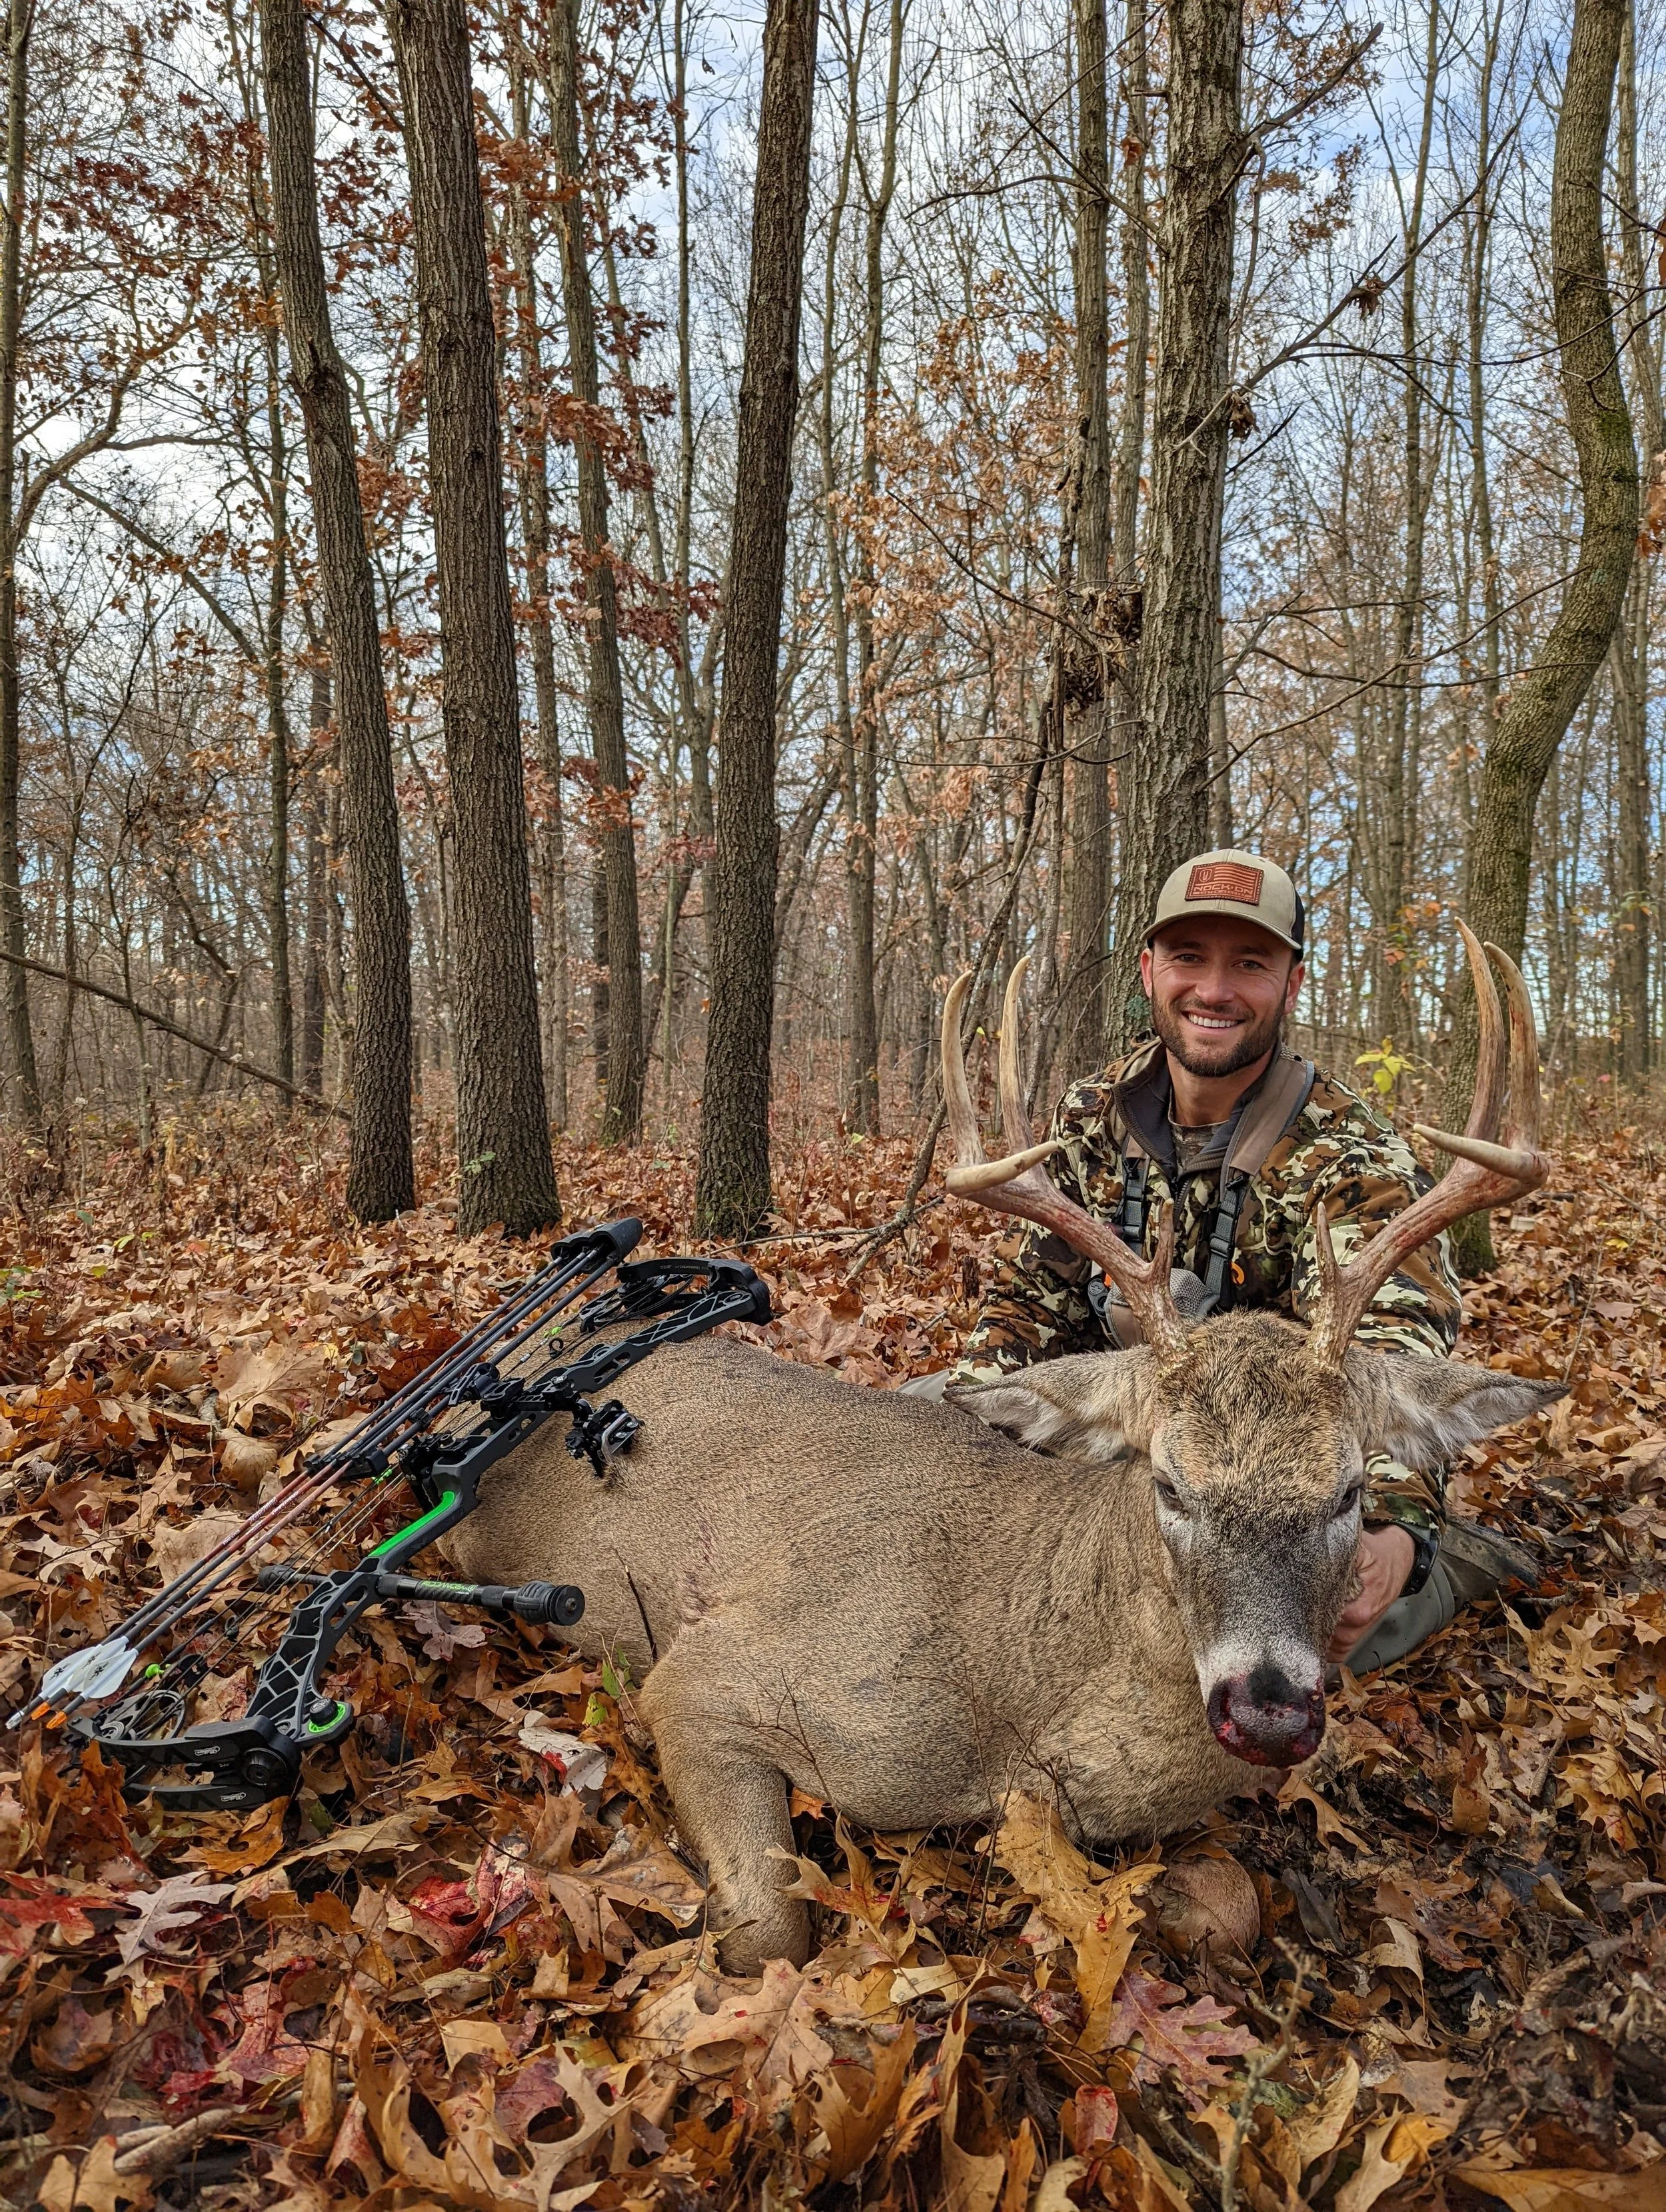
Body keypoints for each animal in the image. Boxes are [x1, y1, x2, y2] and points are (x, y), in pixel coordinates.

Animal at [446, 926, 1560, 1972]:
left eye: (1348, 1493)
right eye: (1169, 1484)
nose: (1271, 1713)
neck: (1017, 1700)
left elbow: (1229, 1911)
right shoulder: (709, 1674)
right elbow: (773, 1935)